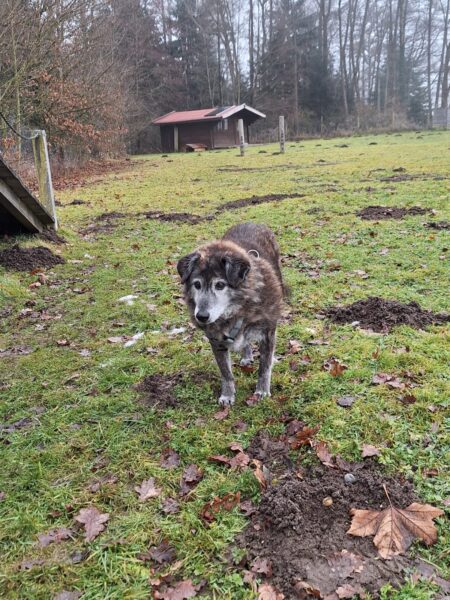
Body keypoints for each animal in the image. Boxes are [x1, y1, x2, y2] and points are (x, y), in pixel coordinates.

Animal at [177, 223, 285, 406]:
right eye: (196, 284)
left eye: (220, 285)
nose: (202, 317)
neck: (236, 309)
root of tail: (251, 222)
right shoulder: (216, 341)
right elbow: (226, 372)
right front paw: (228, 395)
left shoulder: (268, 333)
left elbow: (264, 367)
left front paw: (262, 391)